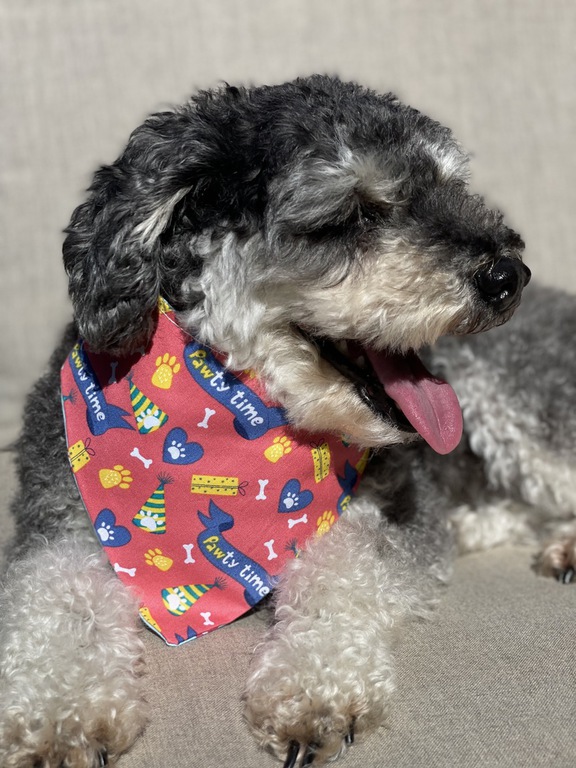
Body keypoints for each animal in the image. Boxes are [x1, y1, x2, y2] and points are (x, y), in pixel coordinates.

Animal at [0, 75, 535, 767]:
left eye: (451, 186)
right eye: (352, 214)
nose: (508, 275)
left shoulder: (391, 510)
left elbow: (342, 570)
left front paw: (312, 689)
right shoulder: (56, 522)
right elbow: (57, 600)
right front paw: (59, 715)